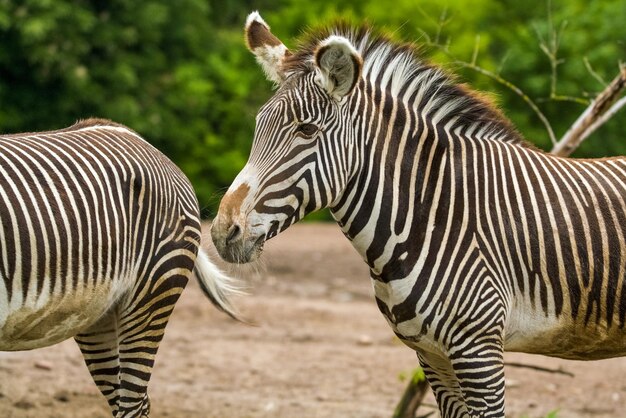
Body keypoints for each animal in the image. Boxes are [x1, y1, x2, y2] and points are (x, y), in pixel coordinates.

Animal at [212, 10, 624, 418]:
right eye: (257, 128)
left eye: (307, 130)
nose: (222, 233)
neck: (436, 212)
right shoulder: (432, 355)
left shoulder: (480, 349)